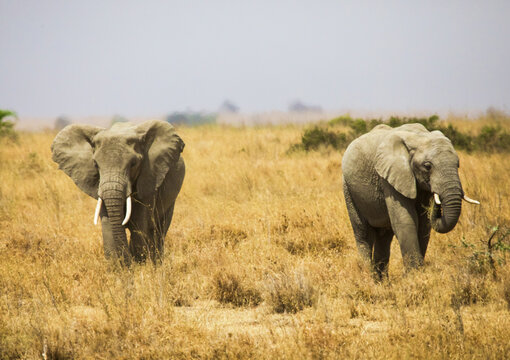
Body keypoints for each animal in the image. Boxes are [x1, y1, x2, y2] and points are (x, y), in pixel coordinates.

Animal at [49, 120, 184, 264]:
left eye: (133, 164)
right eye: (96, 164)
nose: (128, 261)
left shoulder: (149, 179)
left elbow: (139, 225)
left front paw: (139, 264)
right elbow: (108, 226)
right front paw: (118, 267)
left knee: (159, 230)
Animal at [342, 124, 478, 278]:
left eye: (458, 164)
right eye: (427, 166)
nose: (437, 203)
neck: (419, 137)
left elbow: (424, 225)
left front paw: (416, 274)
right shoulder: (390, 177)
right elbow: (406, 221)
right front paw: (413, 276)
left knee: (384, 236)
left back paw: (381, 281)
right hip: (349, 189)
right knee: (363, 232)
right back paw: (367, 275)